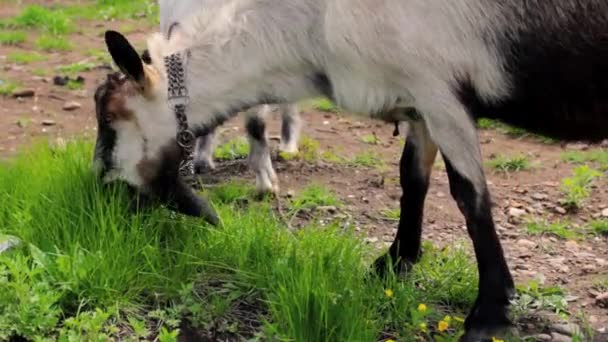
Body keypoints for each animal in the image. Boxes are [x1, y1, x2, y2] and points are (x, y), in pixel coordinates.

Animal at [91, 1, 608, 340]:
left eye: (110, 119)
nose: (101, 193)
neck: (309, 31)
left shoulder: (439, 88)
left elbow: (470, 198)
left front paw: (489, 315)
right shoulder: (418, 100)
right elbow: (411, 179)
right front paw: (395, 263)